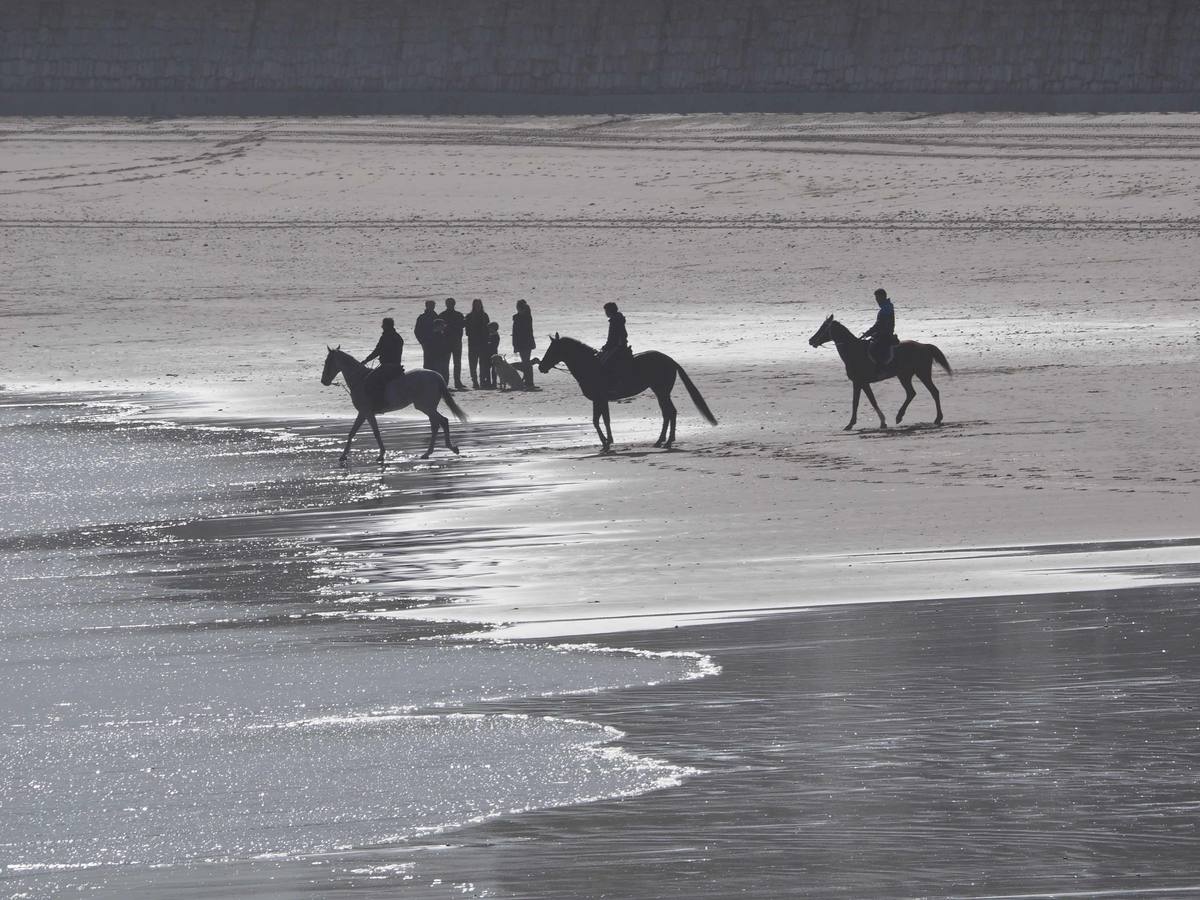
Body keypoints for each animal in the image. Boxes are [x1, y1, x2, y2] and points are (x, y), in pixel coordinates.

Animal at [319, 348, 468, 465]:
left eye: (327, 362)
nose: (323, 381)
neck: (359, 380)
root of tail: (436, 376)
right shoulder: (365, 413)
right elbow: (356, 433)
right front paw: (345, 456)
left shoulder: (366, 412)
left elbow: (370, 433)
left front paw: (380, 455)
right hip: (429, 407)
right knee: (438, 423)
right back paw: (432, 452)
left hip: (425, 407)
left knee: (441, 421)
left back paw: (443, 449)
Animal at [537, 336, 720, 451]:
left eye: (552, 350)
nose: (541, 367)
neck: (589, 366)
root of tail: (670, 360)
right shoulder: (601, 400)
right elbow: (603, 420)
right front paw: (608, 441)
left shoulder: (599, 398)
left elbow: (597, 421)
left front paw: (605, 442)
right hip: (660, 392)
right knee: (667, 413)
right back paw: (662, 440)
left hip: (662, 392)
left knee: (670, 412)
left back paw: (666, 441)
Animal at [811, 314, 950, 432]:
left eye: (823, 328)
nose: (810, 341)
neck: (853, 351)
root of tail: (924, 346)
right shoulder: (861, 383)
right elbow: (866, 401)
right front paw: (879, 422)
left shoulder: (859, 382)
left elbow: (861, 402)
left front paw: (852, 424)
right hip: (904, 376)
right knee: (911, 393)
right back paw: (899, 416)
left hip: (922, 374)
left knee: (933, 392)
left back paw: (937, 418)